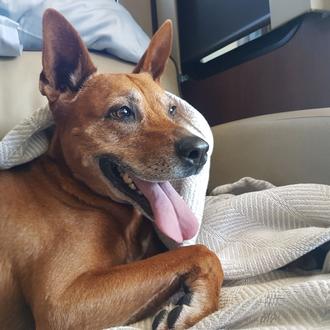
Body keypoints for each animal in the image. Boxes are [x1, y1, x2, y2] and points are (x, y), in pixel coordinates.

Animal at [0, 9, 224, 328]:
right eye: (122, 112)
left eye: (172, 109)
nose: (201, 150)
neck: (71, 187)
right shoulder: (63, 303)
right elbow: (202, 252)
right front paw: (193, 306)